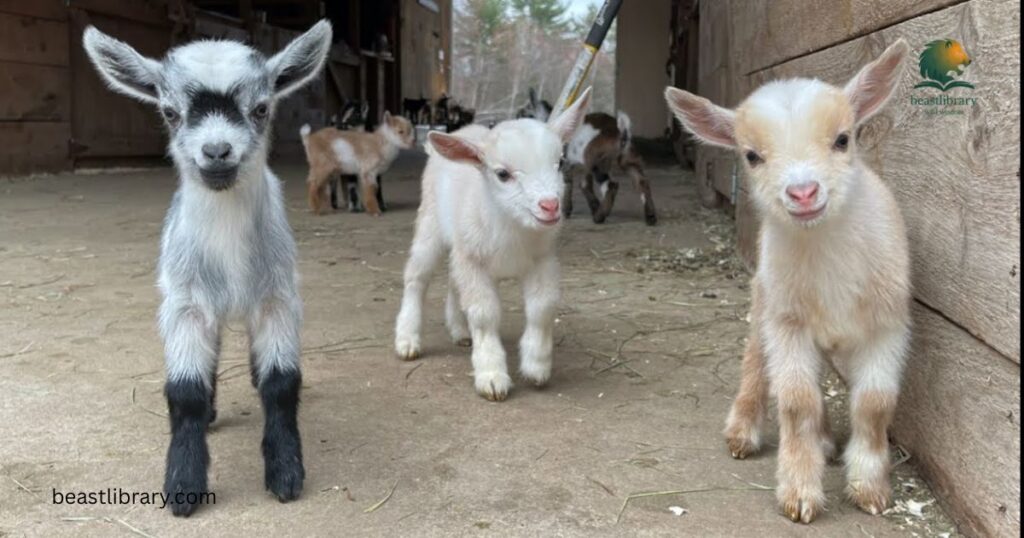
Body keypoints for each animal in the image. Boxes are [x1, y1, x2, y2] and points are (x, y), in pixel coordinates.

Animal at [83, 21, 333, 515]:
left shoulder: (278, 297)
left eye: (261, 108)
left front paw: (285, 472)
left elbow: (281, 383)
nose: (217, 151)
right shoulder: (184, 303)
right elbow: (186, 391)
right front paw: (183, 484)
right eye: (169, 112)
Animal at [394, 88, 592, 401]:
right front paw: (491, 376)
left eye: (560, 163)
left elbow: (542, 308)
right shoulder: (473, 261)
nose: (550, 206)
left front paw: (536, 366)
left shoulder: (542, 259)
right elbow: (484, 315)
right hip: (430, 224)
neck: (511, 228)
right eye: (502, 174)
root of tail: (462, 132)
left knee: (453, 281)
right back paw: (407, 339)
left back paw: (460, 332)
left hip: (461, 245)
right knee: (416, 277)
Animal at [665, 39, 912, 523]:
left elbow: (874, 404)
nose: (802, 193)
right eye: (751, 155)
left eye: (843, 139)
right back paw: (744, 430)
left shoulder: (887, 324)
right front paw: (799, 491)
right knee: (756, 362)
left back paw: (826, 440)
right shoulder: (788, 322)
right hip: (766, 299)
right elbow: (797, 402)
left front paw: (870, 487)